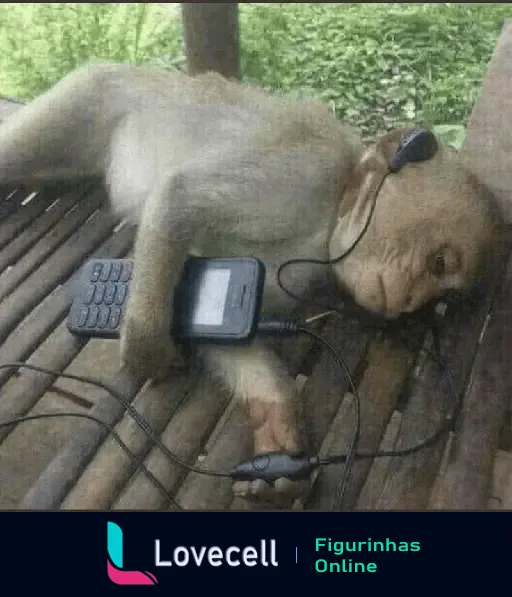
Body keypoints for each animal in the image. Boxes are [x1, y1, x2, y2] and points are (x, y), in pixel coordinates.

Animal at [0, 62, 504, 506]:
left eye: (439, 295)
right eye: (438, 263)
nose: (410, 301)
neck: (333, 210)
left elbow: (224, 322)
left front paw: (276, 430)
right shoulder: (306, 173)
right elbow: (182, 196)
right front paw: (148, 347)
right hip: (89, 95)